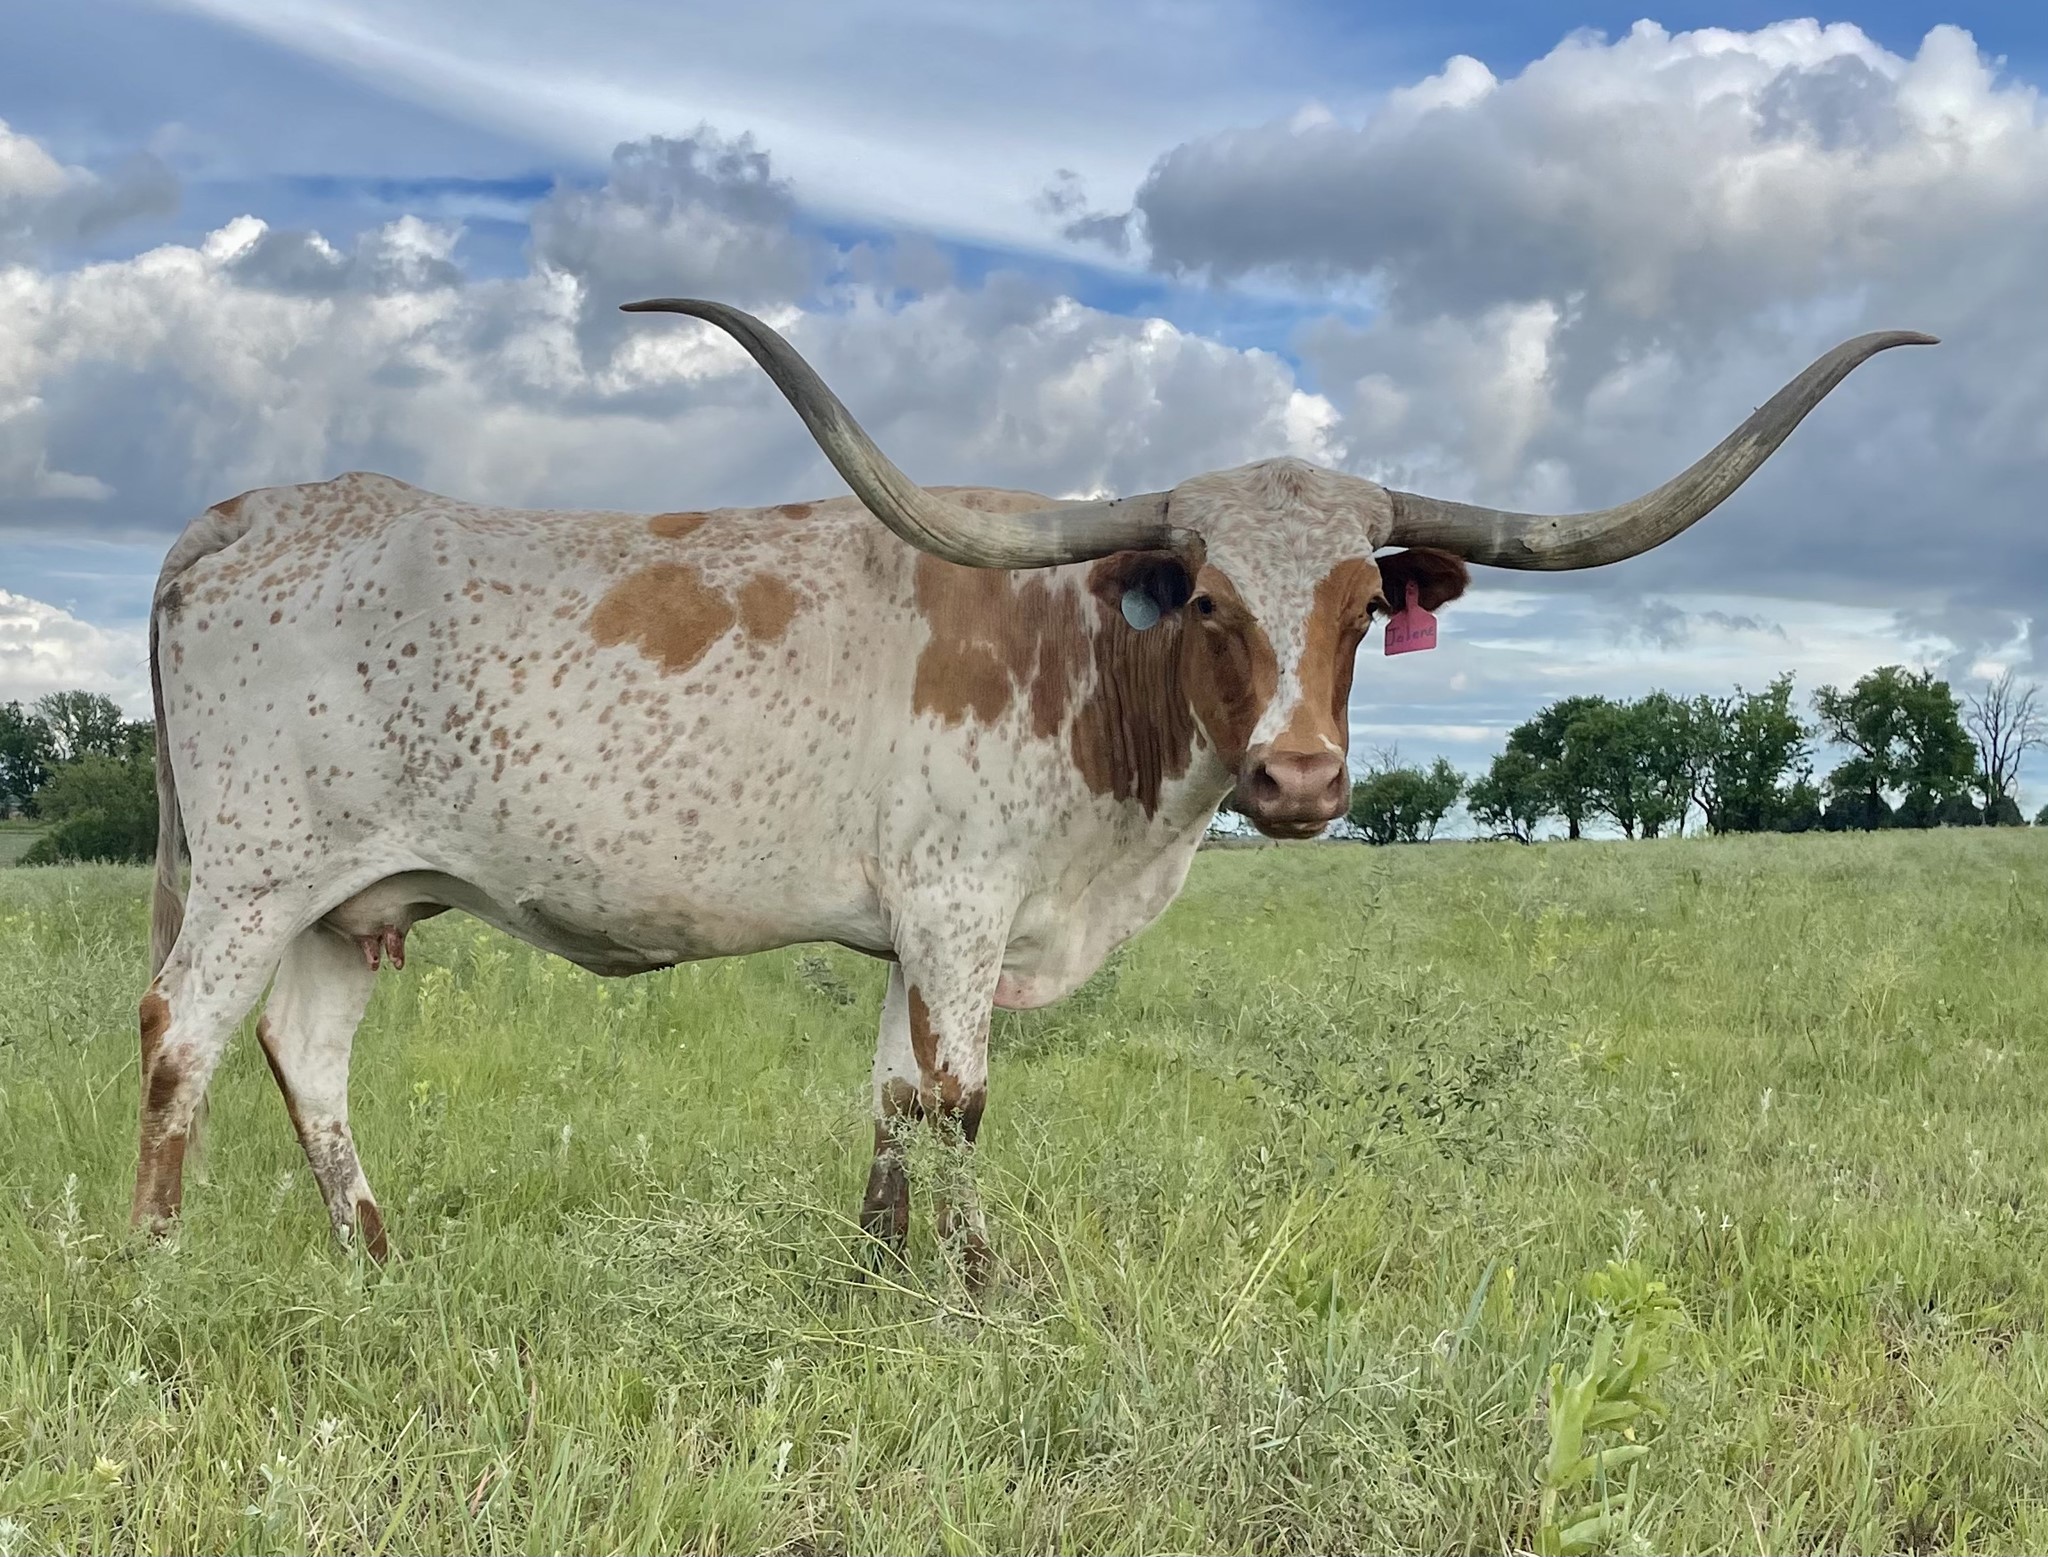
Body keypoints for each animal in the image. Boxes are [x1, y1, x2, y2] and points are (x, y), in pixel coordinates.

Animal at [132, 298, 1932, 1282]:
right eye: (1203, 597)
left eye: (1363, 605)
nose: (1298, 776)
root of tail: (241, 509)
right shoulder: (959, 904)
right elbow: (962, 1103)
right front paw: (978, 1287)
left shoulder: (912, 933)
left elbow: (888, 1102)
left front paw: (873, 1278)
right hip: (252, 873)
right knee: (182, 1039)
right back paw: (154, 1272)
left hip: (353, 899)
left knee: (306, 1056)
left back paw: (376, 1260)